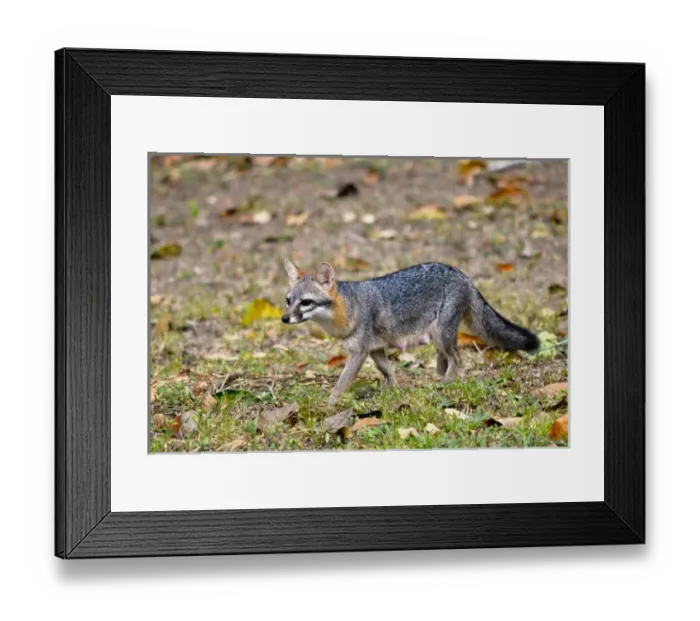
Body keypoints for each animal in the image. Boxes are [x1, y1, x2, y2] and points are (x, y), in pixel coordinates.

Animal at [282, 259, 539, 406]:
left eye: (306, 303)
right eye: (288, 301)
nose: (285, 318)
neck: (348, 308)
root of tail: (461, 274)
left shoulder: (359, 353)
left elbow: (341, 383)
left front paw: (329, 404)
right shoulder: (375, 349)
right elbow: (388, 371)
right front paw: (393, 390)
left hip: (441, 334)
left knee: (457, 358)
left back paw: (446, 382)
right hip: (439, 337)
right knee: (446, 358)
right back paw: (439, 374)